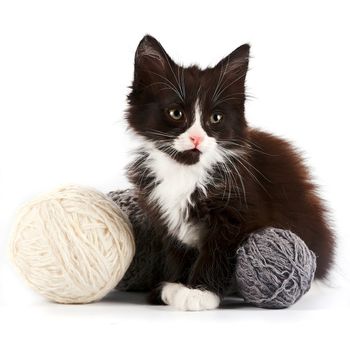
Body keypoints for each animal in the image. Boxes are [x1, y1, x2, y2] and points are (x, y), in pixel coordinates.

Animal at [124, 34, 334, 310]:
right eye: (176, 113)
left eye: (215, 118)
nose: (196, 138)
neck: (186, 172)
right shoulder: (163, 216)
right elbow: (176, 252)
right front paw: (174, 284)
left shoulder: (242, 210)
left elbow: (218, 250)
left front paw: (199, 291)